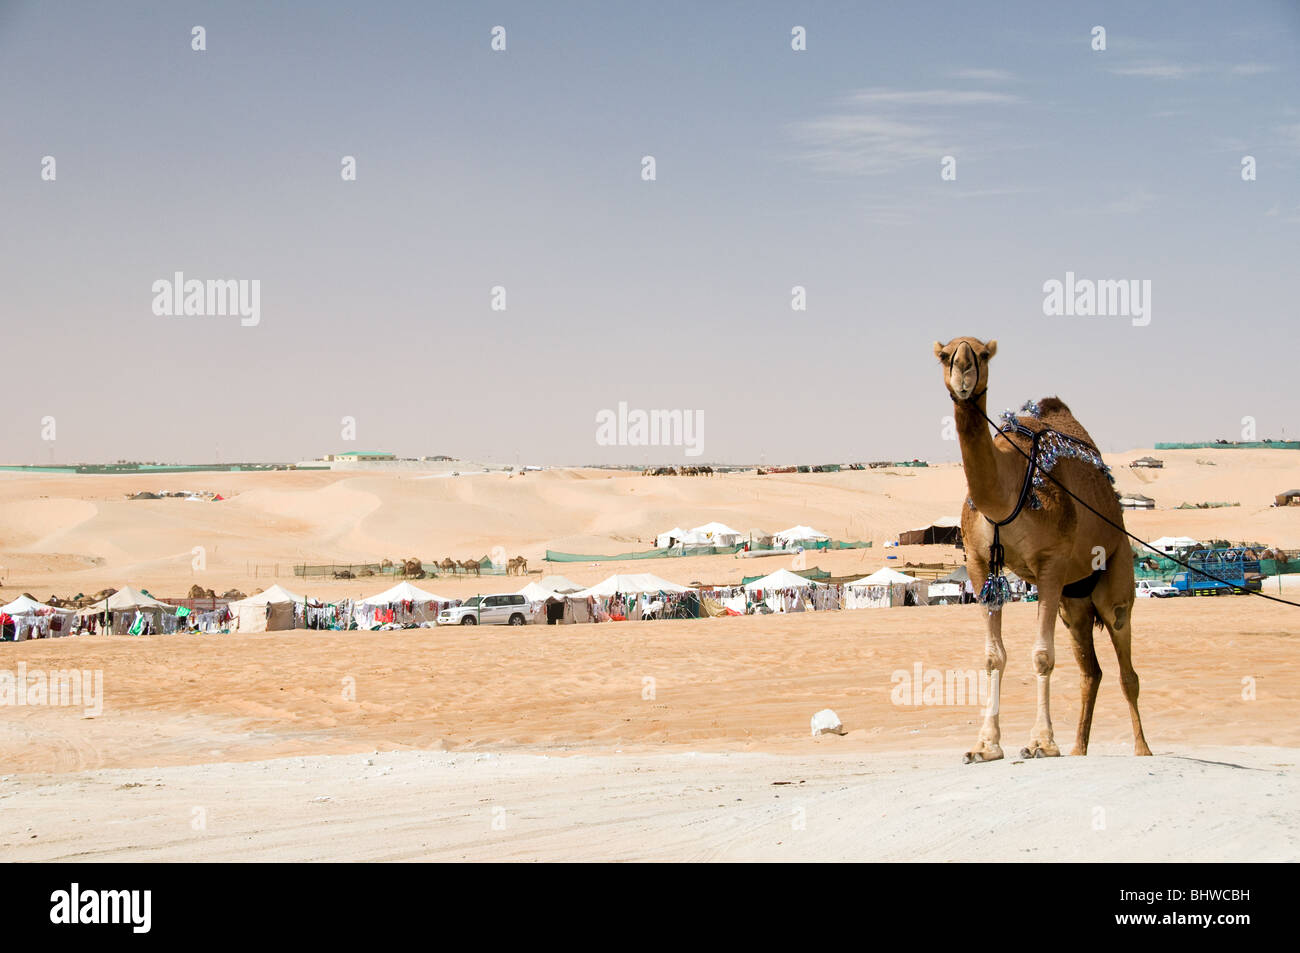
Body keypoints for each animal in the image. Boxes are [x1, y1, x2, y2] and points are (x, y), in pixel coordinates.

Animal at [934, 336, 1151, 763]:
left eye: (982, 354)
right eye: (945, 355)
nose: (963, 373)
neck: (1008, 489)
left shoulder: (1051, 561)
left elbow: (1042, 655)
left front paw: (1041, 743)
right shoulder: (980, 563)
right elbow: (993, 656)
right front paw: (985, 746)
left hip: (1116, 576)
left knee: (1126, 668)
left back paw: (1142, 748)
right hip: (1075, 601)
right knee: (1091, 671)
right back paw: (1079, 748)